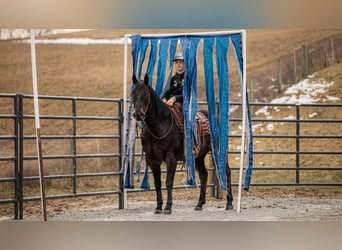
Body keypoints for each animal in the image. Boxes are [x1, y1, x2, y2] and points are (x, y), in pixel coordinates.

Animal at [132, 73, 234, 214]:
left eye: (146, 93)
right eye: (133, 94)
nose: (138, 114)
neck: (159, 124)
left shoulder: (170, 157)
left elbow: (169, 182)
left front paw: (168, 207)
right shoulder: (151, 159)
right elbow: (157, 183)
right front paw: (158, 207)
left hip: (218, 151)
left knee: (227, 172)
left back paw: (229, 203)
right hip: (199, 156)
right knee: (204, 175)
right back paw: (199, 204)